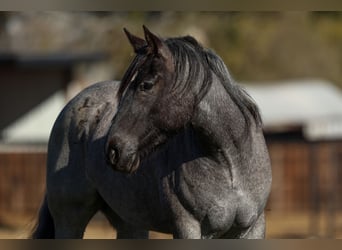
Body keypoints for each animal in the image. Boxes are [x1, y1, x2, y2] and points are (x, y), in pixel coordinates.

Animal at [32, 25, 272, 238]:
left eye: (146, 85)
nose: (113, 150)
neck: (230, 165)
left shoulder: (251, 229)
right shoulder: (188, 228)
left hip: (130, 223)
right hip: (70, 220)